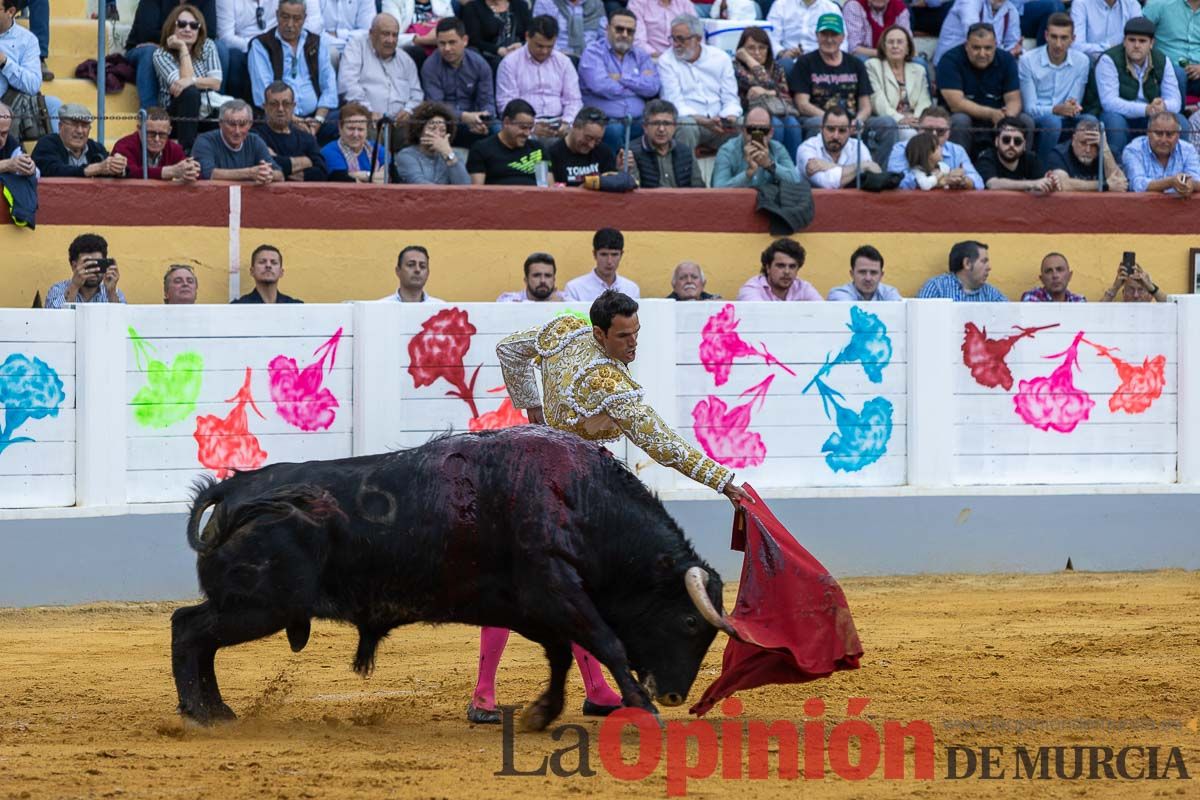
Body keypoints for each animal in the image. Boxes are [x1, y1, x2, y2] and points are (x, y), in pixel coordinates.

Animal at [171, 429, 729, 729]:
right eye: (688, 622)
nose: (674, 695)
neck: (576, 499)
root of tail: (235, 488)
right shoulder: (556, 590)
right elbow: (606, 643)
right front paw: (643, 710)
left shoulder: (532, 606)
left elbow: (562, 654)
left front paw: (542, 713)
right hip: (259, 604)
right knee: (188, 629)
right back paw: (199, 711)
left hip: (254, 606)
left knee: (199, 638)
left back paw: (215, 710)